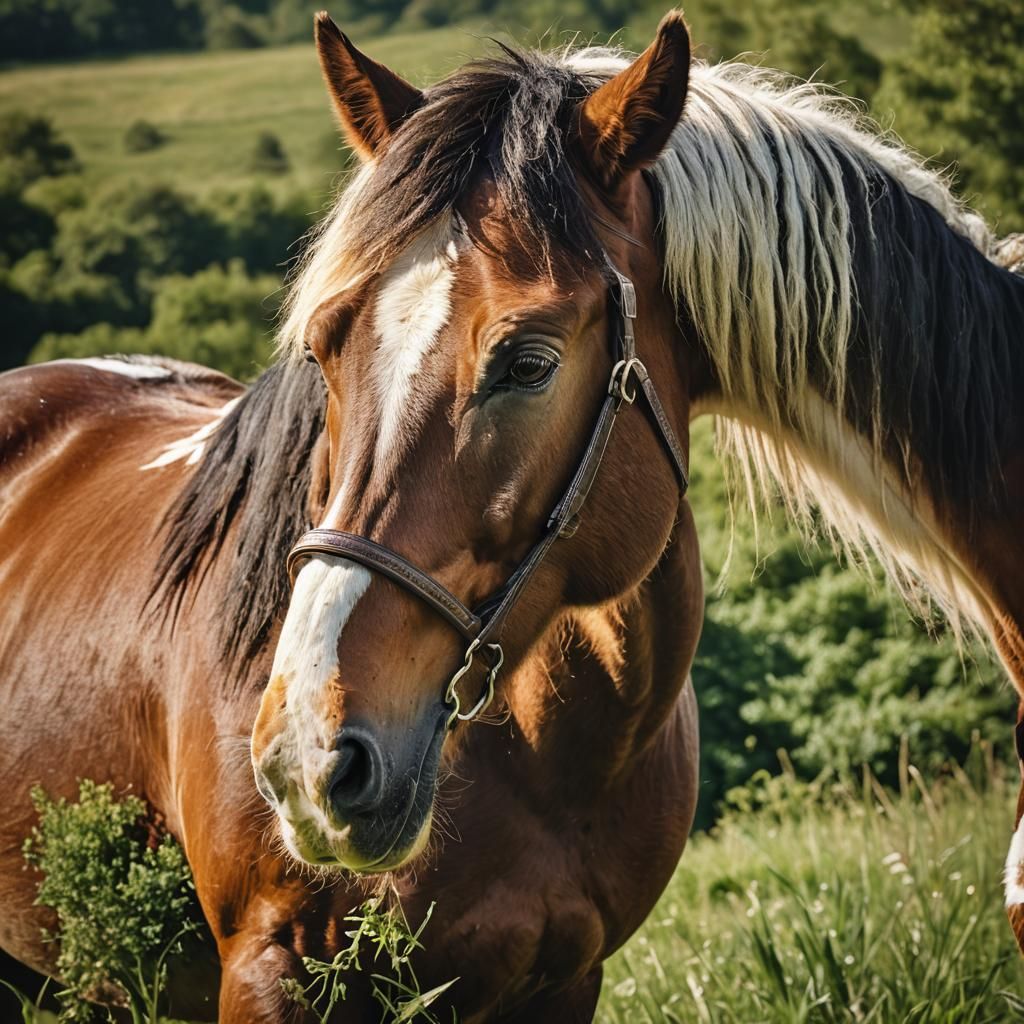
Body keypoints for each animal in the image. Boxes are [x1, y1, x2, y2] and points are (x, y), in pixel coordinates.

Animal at [2, 9, 1023, 1022]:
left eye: (528, 362)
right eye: (324, 349)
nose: (307, 756)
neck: (549, 758)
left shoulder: (569, 979)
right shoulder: (269, 971)